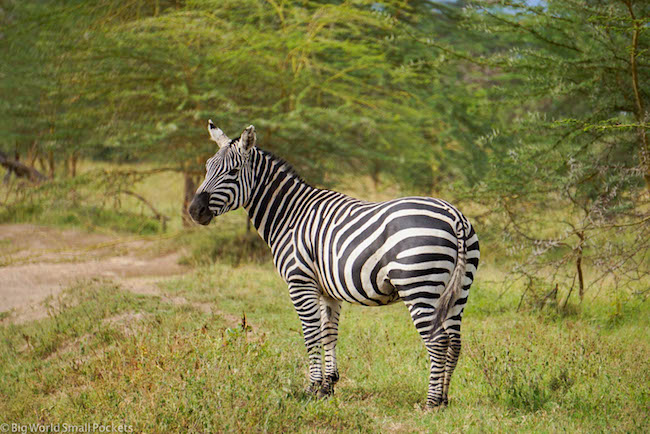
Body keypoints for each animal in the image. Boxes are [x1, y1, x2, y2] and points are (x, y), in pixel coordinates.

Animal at [187, 120, 476, 408]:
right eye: (207, 167)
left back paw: (431, 403)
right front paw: (328, 387)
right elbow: (329, 333)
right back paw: (445, 399)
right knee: (454, 342)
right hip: (458, 291)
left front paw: (312, 388)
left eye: (233, 172)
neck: (290, 216)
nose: (194, 211)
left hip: (418, 286)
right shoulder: (328, 290)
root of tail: (453, 215)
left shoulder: (300, 283)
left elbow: (311, 334)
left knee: (437, 341)